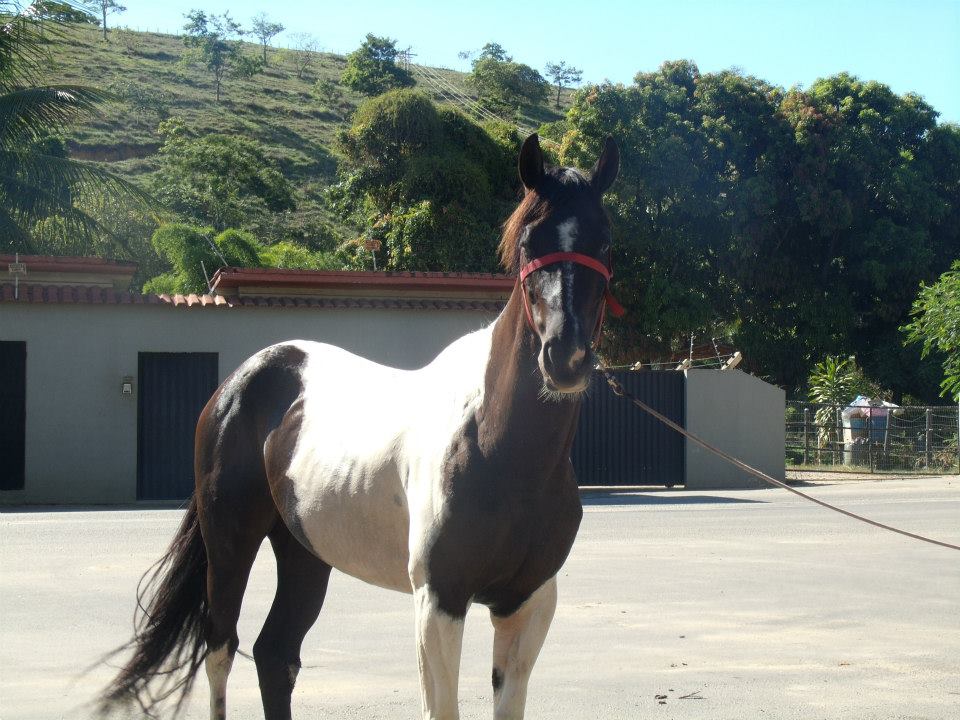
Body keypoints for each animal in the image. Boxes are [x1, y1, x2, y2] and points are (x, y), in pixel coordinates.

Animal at [99, 132, 620, 720]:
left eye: (604, 243)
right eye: (530, 242)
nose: (565, 358)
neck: (500, 449)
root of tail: (239, 381)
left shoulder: (528, 603)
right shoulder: (439, 600)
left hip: (304, 551)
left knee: (274, 653)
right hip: (229, 544)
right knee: (220, 651)